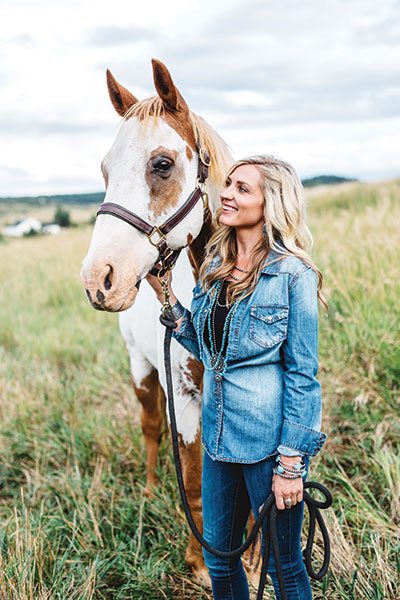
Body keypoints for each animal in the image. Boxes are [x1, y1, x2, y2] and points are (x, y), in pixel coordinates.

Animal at [80, 59, 255, 584]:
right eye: (105, 169)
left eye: (161, 164)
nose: (99, 280)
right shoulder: (188, 400)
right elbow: (196, 482)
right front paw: (204, 564)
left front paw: (255, 558)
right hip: (141, 370)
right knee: (151, 426)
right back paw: (152, 489)